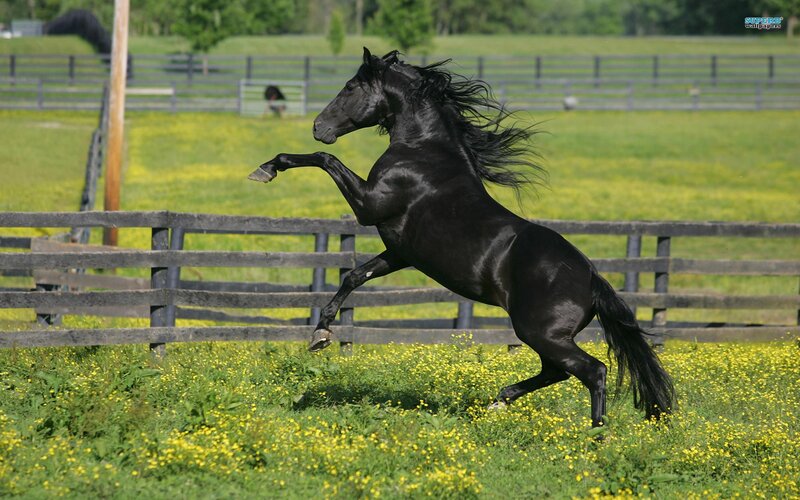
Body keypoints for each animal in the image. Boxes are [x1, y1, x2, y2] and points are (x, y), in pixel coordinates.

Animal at [248, 48, 675, 427]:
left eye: (351, 86)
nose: (318, 127)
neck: (423, 152)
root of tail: (591, 278)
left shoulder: (369, 206)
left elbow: (326, 161)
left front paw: (267, 168)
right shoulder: (400, 252)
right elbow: (354, 275)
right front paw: (320, 332)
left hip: (541, 332)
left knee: (592, 371)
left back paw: (596, 436)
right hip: (545, 336)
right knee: (557, 372)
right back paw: (500, 401)